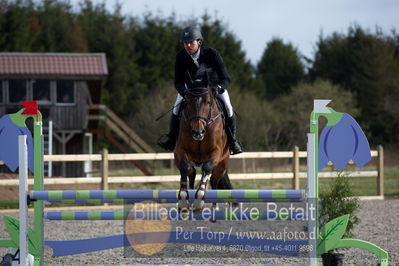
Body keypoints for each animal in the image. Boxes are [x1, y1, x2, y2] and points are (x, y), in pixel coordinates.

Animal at [175, 80, 234, 212]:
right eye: (187, 102)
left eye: (208, 102)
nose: (198, 132)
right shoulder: (180, 150)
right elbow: (184, 167)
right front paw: (183, 201)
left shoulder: (216, 152)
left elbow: (206, 168)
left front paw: (199, 200)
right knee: (191, 173)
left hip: (222, 163)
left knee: (214, 179)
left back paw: (214, 207)